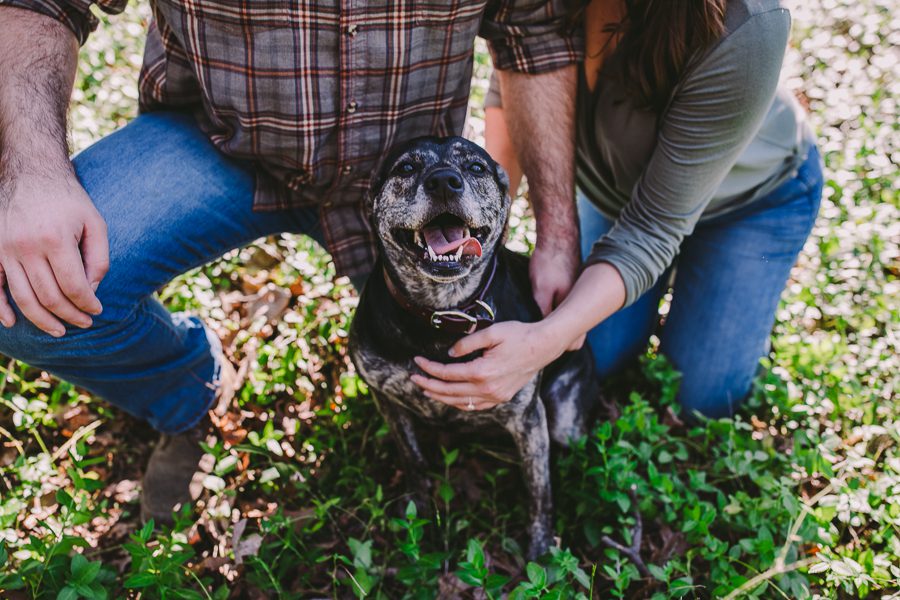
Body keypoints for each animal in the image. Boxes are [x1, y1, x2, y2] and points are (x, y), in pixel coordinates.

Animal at [349, 136, 600, 559]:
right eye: (406, 168)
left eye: (476, 168)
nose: (444, 182)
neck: (441, 310)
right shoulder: (386, 398)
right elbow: (412, 458)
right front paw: (418, 510)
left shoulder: (528, 419)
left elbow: (540, 490)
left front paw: (541, 550)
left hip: (564, 421)